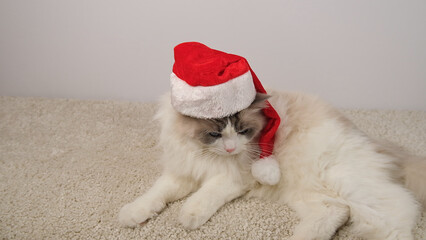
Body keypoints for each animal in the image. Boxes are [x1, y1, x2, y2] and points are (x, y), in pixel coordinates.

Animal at [117, 90, 426, 240]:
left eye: (243, 131)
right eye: (215, 134)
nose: (231, 148)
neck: (206, 156)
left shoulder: (234, 177)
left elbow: (204, 197)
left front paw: (188, 217)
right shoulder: (183, 171)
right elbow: (155, 195)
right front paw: (132, 214)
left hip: (350, 188)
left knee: (397, 212)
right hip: (306, 193)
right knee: (334, 212)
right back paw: (299, 239)